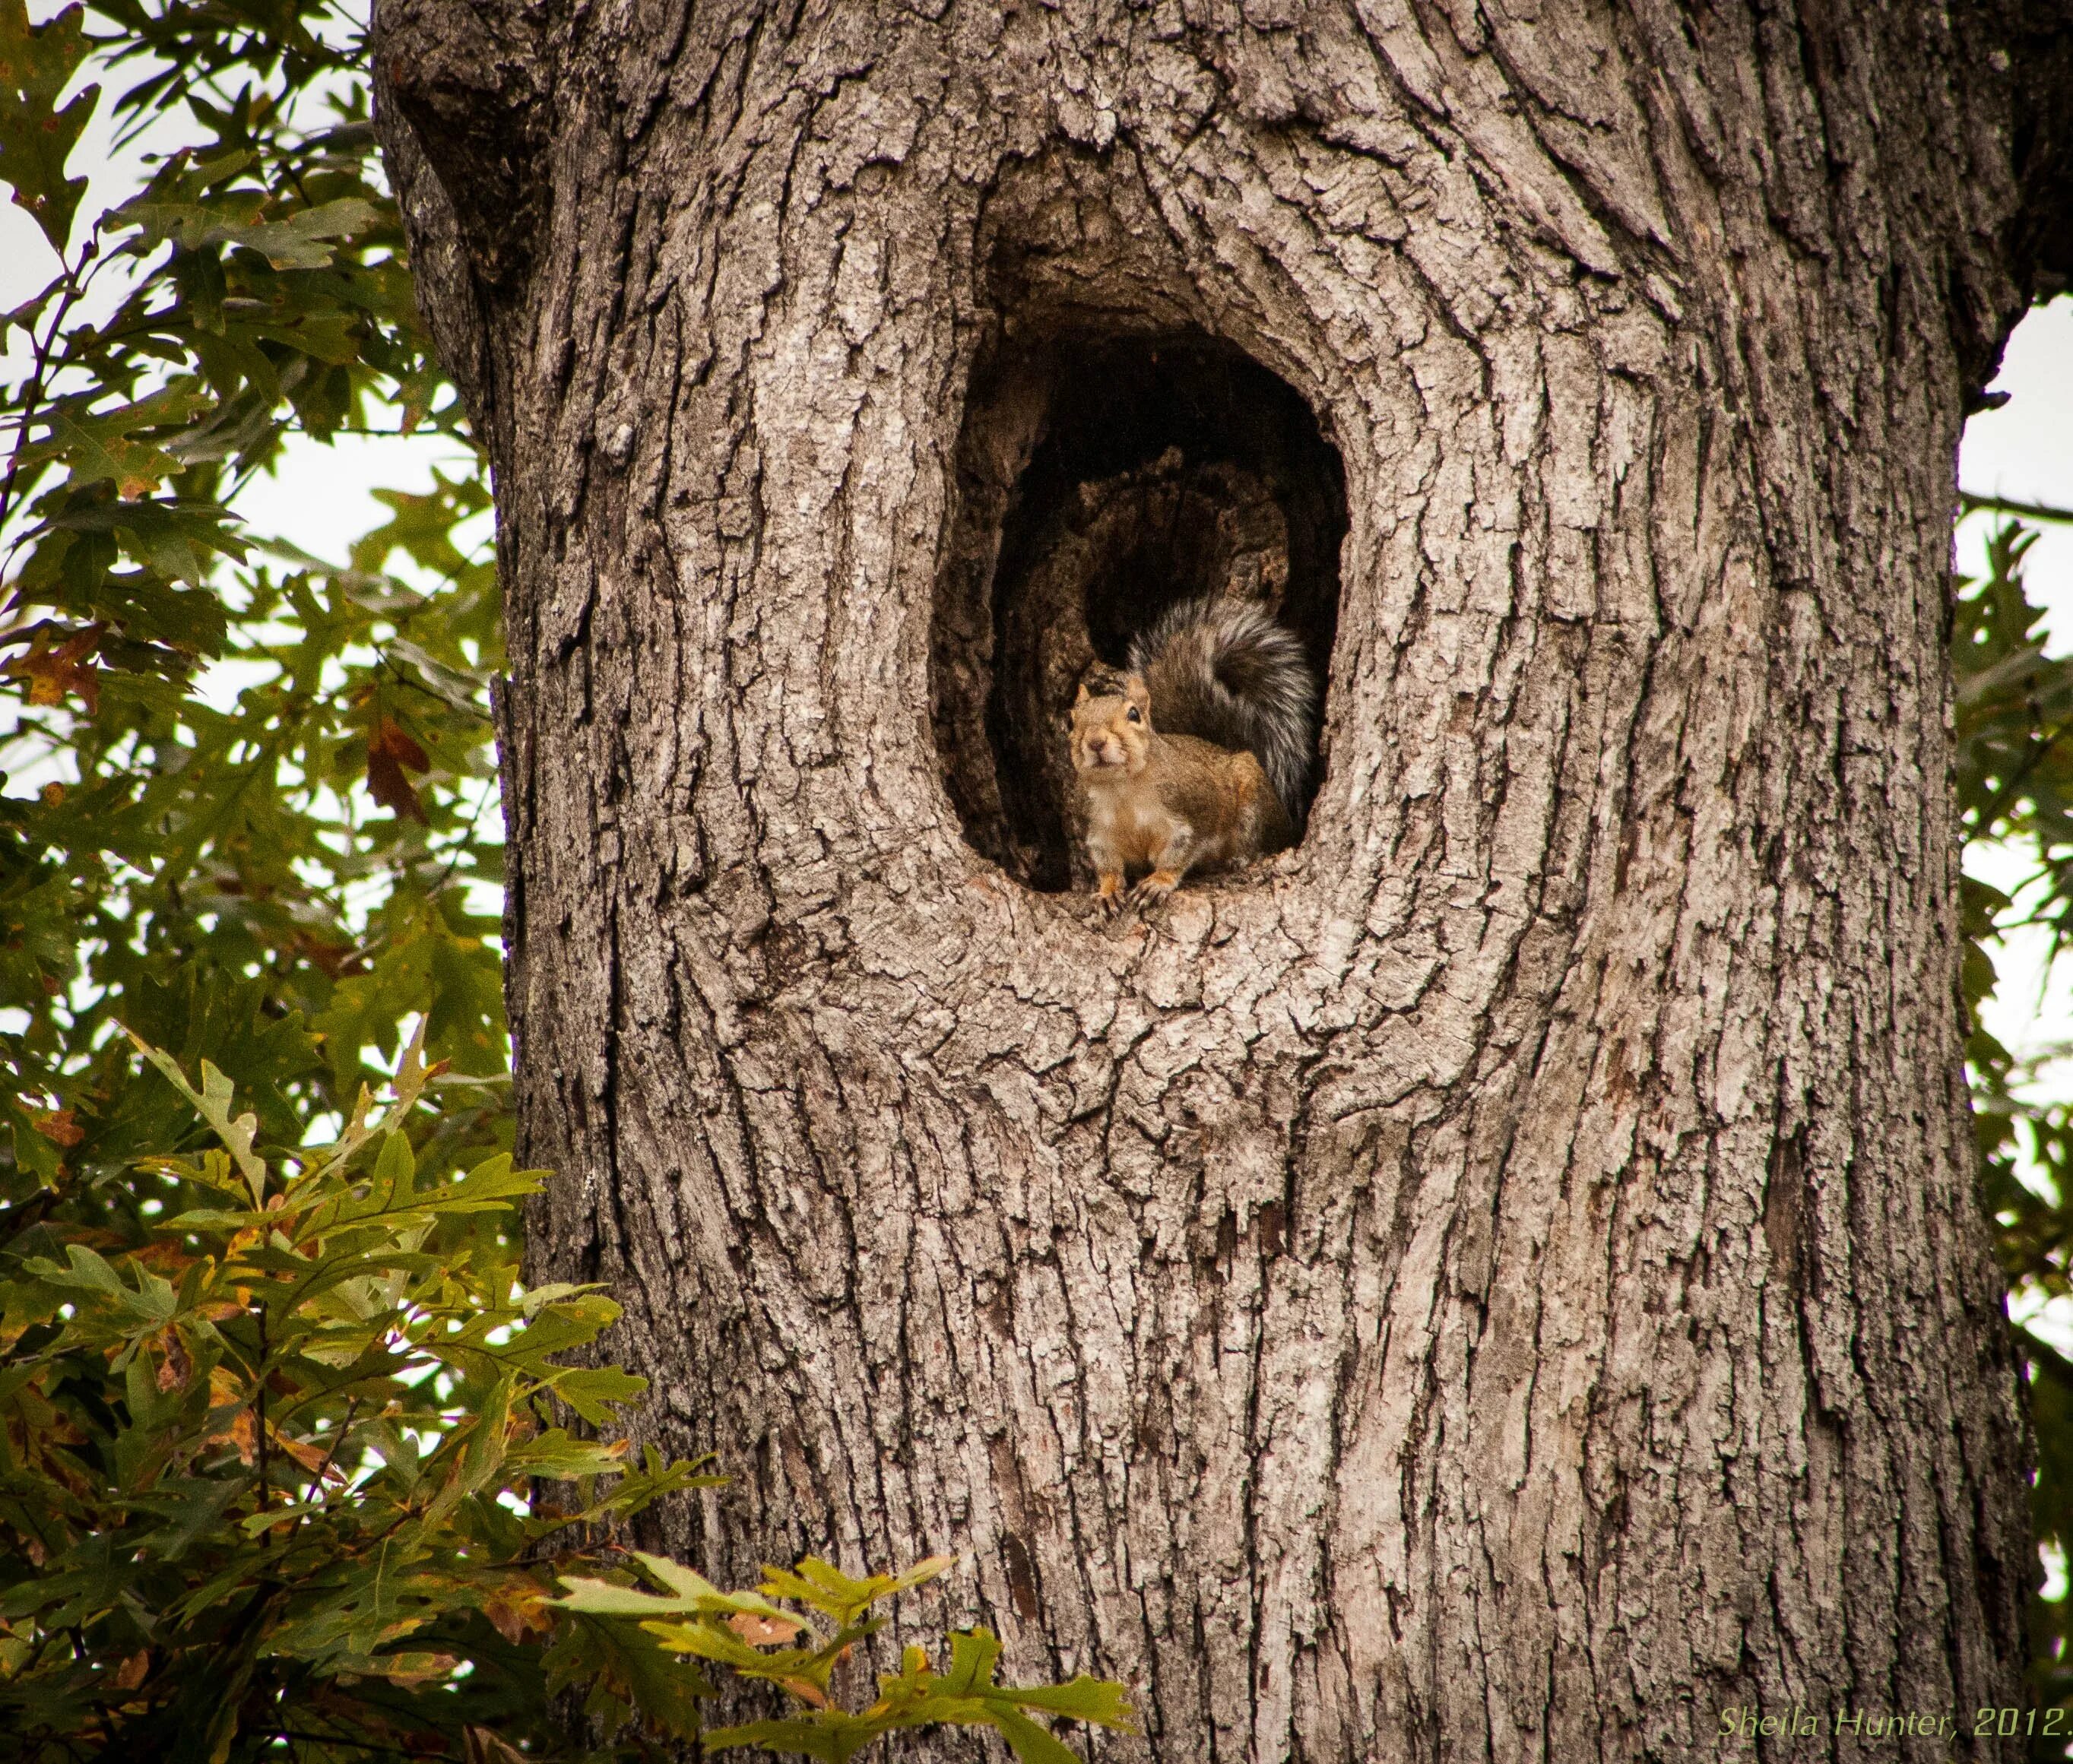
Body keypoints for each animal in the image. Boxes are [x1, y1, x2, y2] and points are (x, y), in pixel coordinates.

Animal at [1070, 605, 1310, 916]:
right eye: (1072, 721)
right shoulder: (1097, 830)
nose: (1096, 742)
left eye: (1134, 714)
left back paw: (1240, 858)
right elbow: (1107, 865)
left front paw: (1158, 882)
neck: (1122, 788)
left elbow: (1180, 852)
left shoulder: (1193, 811)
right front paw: (1108, 891)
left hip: (1252, 797)